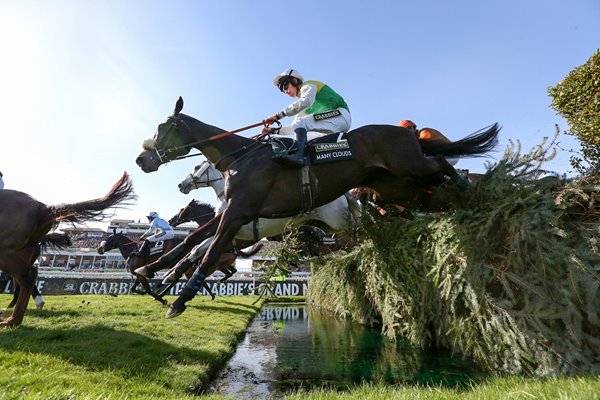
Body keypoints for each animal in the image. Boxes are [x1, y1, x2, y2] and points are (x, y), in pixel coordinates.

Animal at [138, 97, 500, 318]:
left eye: (162, 128)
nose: (142, 159)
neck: (241, 158)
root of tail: (408, 132)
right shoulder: (235, 215)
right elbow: (190, 242)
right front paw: (152, 273)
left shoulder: (238, 213)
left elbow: (208, 251)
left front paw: (178, 299)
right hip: (397, 185)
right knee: (430, 190)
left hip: (409, 166)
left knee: (441, 164)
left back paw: (469, 186)